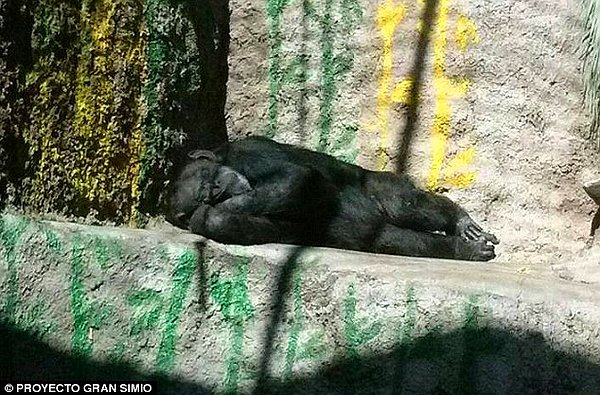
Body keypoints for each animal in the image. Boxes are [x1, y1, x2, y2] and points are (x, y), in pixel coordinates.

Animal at [166, 138, 500, 262]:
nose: (220, 192)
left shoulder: (251, 151)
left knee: (406, 205)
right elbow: (216, 221)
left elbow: (296, 177)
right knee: (396, 239)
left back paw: (460, 221)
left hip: (382, 184)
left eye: (212, 180)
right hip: (374, 232)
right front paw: (210, 212)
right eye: (206, 192)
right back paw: (462, 249)